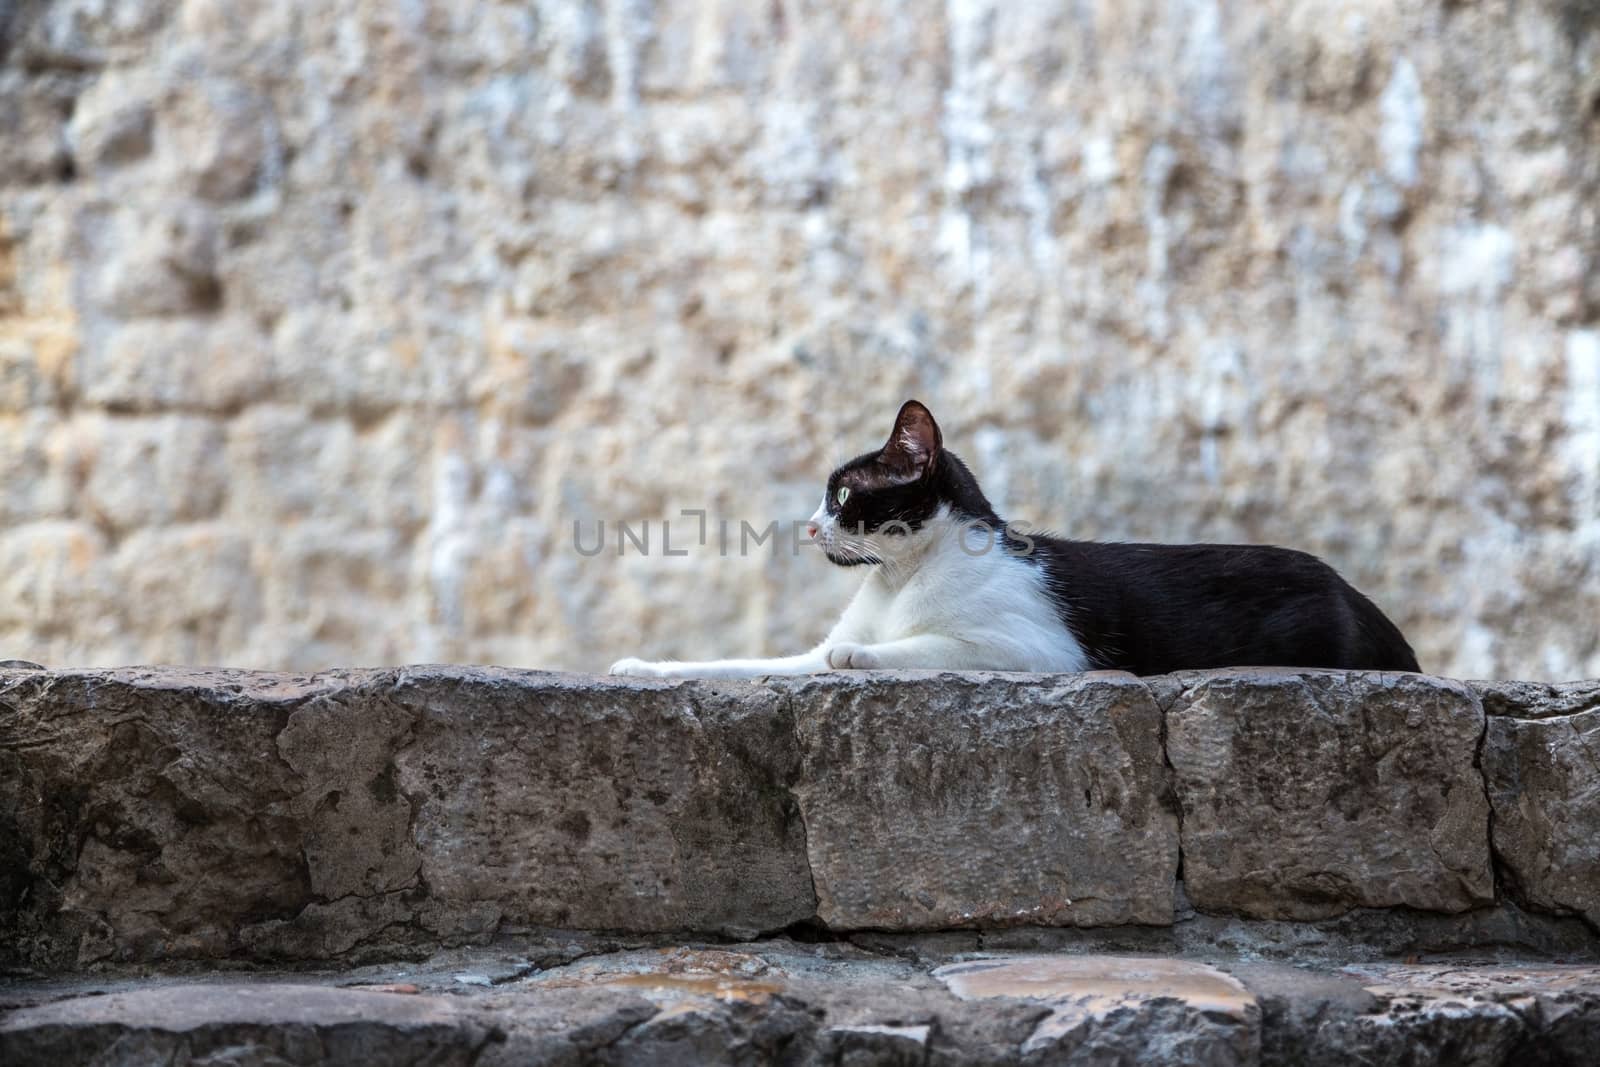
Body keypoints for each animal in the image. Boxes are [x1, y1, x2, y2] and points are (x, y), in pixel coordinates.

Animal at [604, 396, 1420, 681]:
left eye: (842, 496)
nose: (808, 525)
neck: (900, 579)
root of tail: (1357, 593)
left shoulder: (1039, 648)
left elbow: (918, 646)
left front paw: (862, 655)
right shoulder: (796, 656)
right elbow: (734, 665)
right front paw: (641, 667)